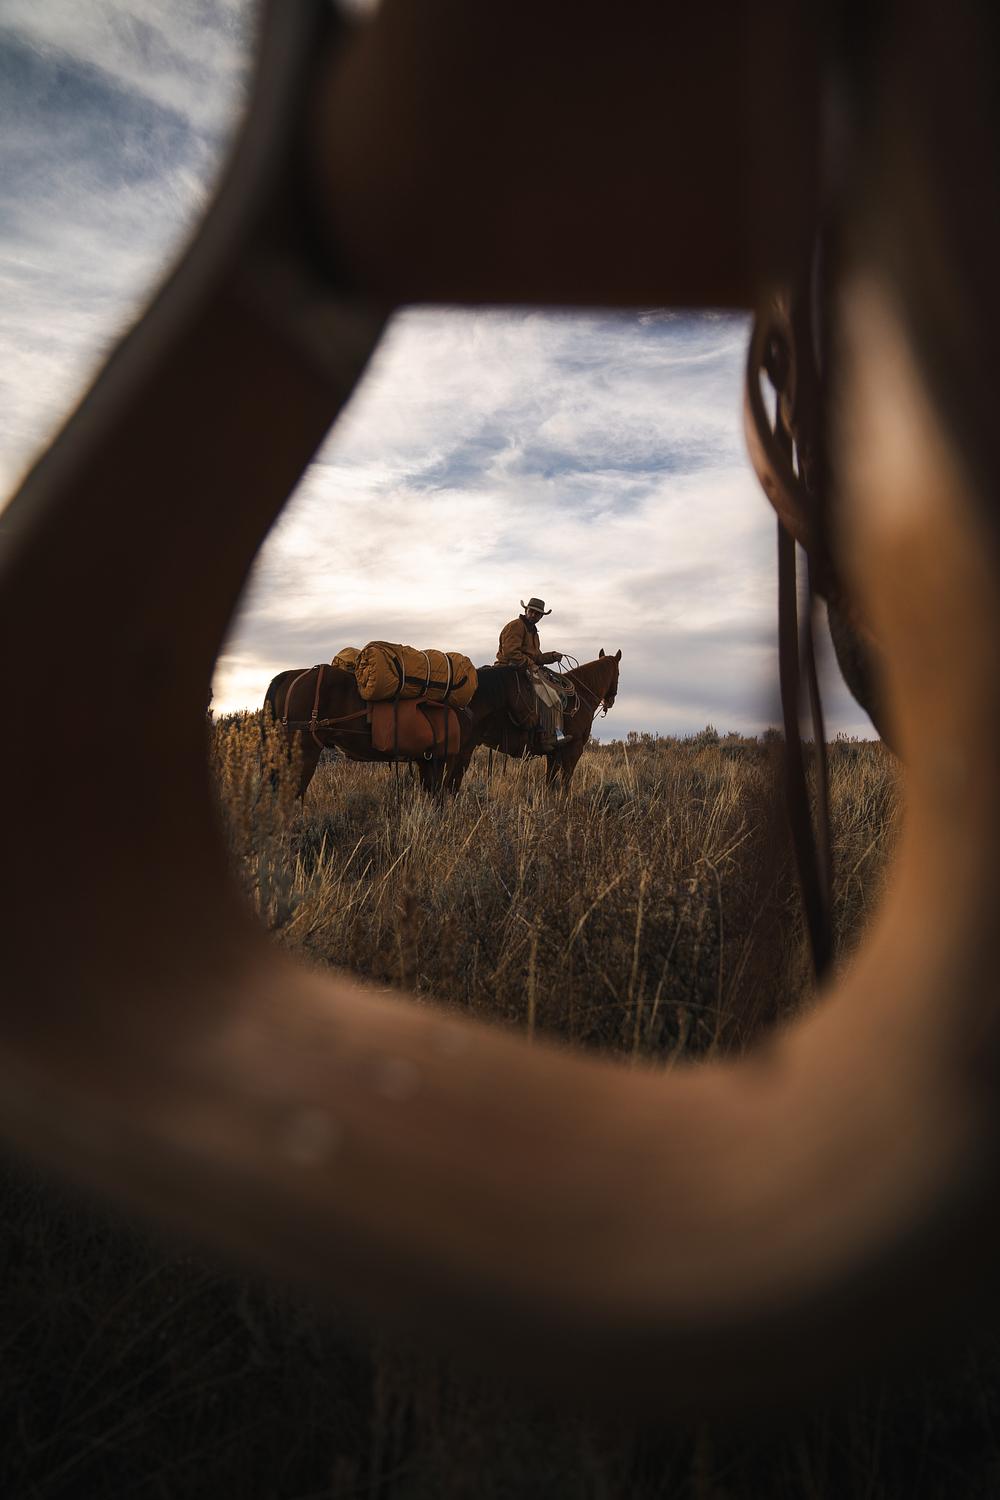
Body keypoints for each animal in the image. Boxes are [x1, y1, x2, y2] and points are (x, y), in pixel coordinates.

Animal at [481, 650, 621, 788]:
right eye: (619, 674)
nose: (610, 702)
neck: (582, 694)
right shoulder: (574, 748)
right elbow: (565, 782)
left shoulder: (554, 753)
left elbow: (550, 781)